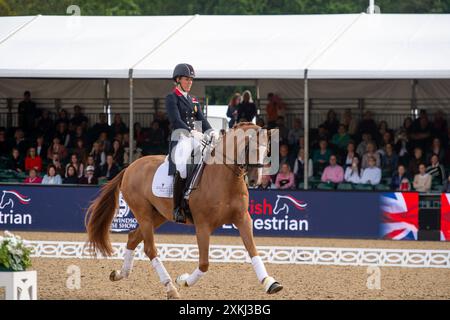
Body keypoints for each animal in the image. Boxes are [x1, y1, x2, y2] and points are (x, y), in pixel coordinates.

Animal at [85, 122, 282, 300]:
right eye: (249, 148)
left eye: (267, 151)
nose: (256, 180)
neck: (225, 178)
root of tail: (130, 167)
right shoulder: (203, 226)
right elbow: (204, 263)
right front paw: (184, 280)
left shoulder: (243, 219)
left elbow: (253, 252)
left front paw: (270, 283)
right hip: (143, 213)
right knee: (150, 249)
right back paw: (171, 288)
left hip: (158, 215)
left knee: (133, 237)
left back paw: (120, 273)